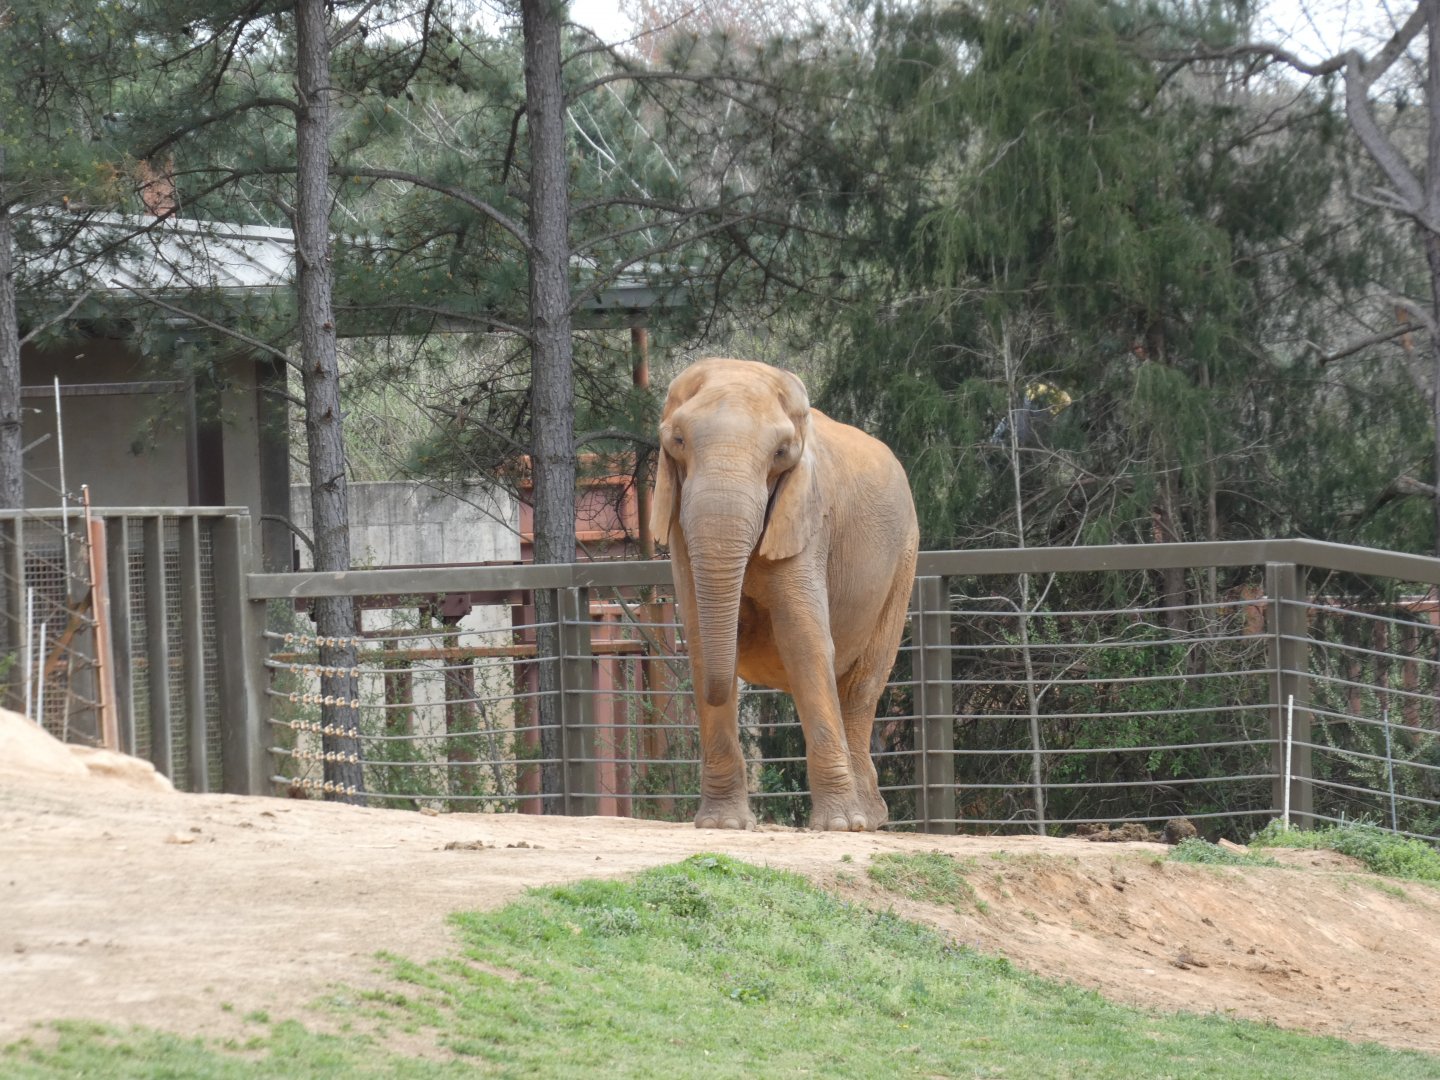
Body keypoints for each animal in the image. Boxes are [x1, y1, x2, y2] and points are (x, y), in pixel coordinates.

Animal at [651, 357, 920, 831]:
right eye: (677, 441)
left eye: (780, 453)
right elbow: (702, 639)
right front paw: (723, 826)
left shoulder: (809, 519)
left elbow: (804, 640)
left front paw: (838, 827)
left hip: (903, 558)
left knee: (862, 686)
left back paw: (866, 821)